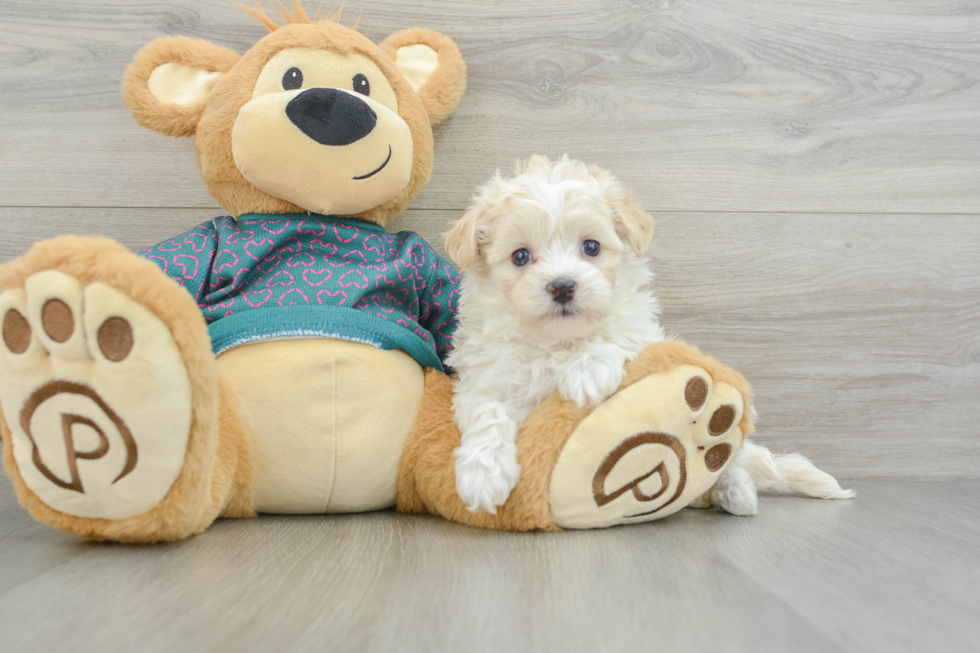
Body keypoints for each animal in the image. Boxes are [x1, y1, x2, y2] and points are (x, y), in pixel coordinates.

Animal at [446, 155, 668, 512]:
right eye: (520, 256)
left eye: (591, 246)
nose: (562, 285)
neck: (554, 341)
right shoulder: (483, 383)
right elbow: (488, 413)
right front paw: (483, 474)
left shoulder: (642, 331)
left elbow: (615, 331)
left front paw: (587, 371)